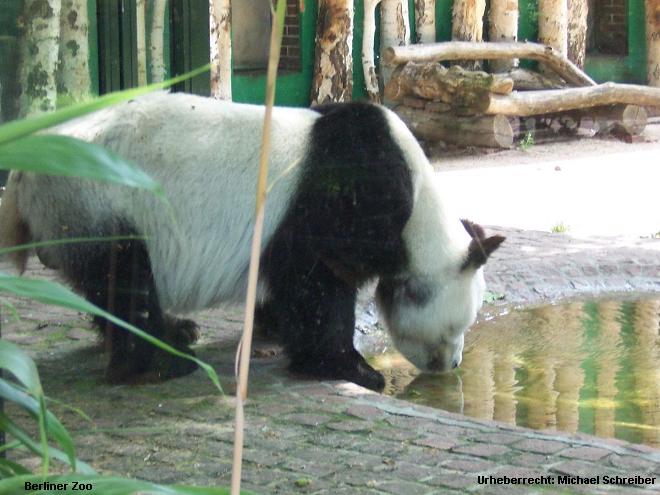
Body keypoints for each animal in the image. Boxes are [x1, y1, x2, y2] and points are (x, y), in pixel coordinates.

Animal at [0, 94, 502, 392]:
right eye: (456, 327)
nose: (451, 364)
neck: (420, 209)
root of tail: (23, 173)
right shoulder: (347, 197)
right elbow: (318, 283)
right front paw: (351, 368)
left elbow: (287, 283)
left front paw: (272, 328)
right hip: (99, 197)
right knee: (127, 277)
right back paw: (161, 360)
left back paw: (176, 333)